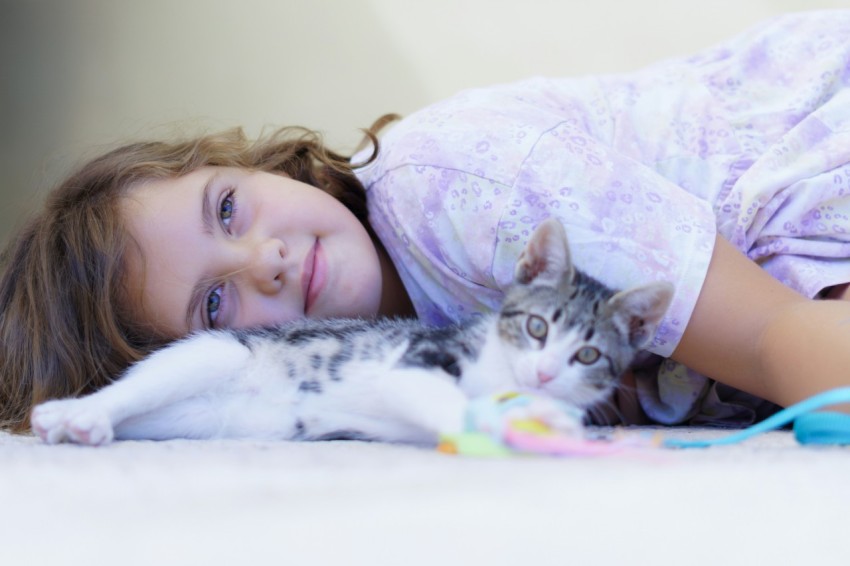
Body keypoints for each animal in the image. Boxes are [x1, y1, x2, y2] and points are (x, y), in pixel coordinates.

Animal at [29, 220, 672, 446]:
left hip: (197, 419)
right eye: (537, 327)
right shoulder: (417, 358)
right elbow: (447, 400)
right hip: (215, 351)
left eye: (587, 354)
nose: (542, 371)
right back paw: (76, 414)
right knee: (127, 389)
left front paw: (542, 417)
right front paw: (494, 424)